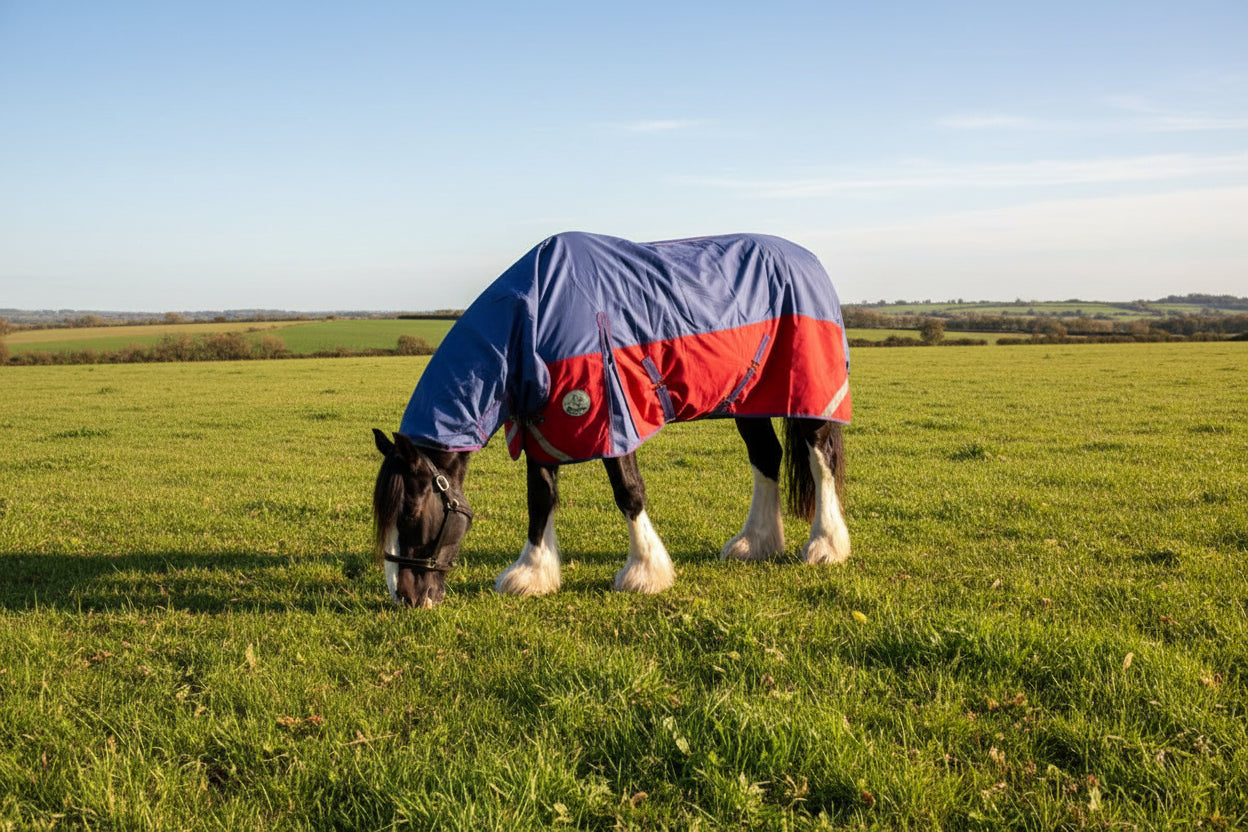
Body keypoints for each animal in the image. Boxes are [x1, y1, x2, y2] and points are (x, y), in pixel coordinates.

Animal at [373, 232, 852, 607]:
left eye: (411, 514)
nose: (406, 599)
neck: (536, 317)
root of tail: (809, 261)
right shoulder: (540, 427)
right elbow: (540, 498)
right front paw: (533, 573)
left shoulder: (614, 419)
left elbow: (628, 490)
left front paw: (644, 572)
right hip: (746, 401)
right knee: (766, 457)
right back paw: (755, 544)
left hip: (809, 394)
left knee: (820, 459)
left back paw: (825, 546)